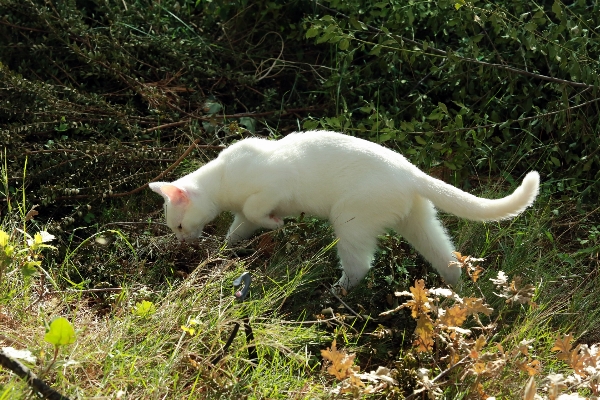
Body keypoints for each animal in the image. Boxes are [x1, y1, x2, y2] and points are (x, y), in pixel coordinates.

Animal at [149, 131, 540, 290]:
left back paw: (335, 293)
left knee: (359, 267)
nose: (183, 243)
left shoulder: (269, 190)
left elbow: (258, 212)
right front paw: (226, 250)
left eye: (178, 227)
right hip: (419, 223)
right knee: (448, 257)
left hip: (350, 221)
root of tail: (410, 172)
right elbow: (237, 230)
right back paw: (454, 290)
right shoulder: (244, 217)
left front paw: (278, 224)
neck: (222, 176)